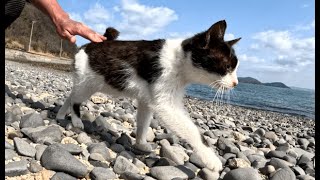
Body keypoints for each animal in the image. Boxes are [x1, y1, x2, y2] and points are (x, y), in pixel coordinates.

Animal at [56, 20, 240, 173]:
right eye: (228, 67)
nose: (236, 83)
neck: (178, 60)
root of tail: (90, 44)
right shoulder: (165, 104)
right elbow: (192, 130)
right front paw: (210, 158)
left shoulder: (147, 99)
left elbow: (144, 122)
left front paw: (141, 142)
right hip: (87, 83)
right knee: (75, 100)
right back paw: (76, 120)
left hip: (87, 83)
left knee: (71, 95)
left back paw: (60, 114)